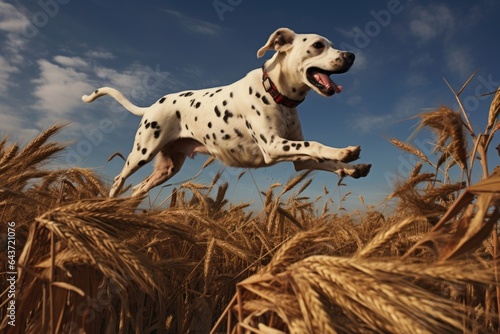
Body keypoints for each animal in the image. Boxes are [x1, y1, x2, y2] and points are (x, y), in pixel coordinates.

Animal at [83, 28, 372, 198]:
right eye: (318, 45)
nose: (351, 56)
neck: (275, 92)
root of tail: (154, 105)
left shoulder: (298, 158)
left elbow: (322, 159)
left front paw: (351, 167)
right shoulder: (273, 146)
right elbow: (315, 144)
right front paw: (345, 152)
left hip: (168, 167)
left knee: (138, 188)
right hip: (142, 153)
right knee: (120, 179)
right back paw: (109, 206)